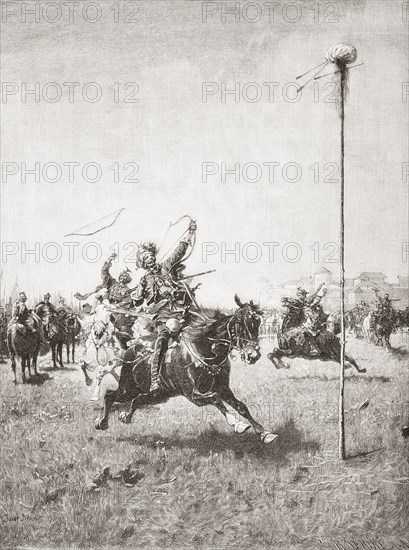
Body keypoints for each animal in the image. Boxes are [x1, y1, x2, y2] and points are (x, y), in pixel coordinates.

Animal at [93, 296, 278, 446]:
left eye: (257, 324)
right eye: (240, 324)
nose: (253, 355)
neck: (205, 350)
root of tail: (130, 346)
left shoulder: (224, 388)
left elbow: (241, 406)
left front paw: (264, 433)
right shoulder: (193, 395)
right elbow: (216, 399)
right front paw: (236, 423)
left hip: (158, 395)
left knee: (137, 400)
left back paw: (124, 417)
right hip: (128, 388)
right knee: (110, 395)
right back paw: (102, 422)